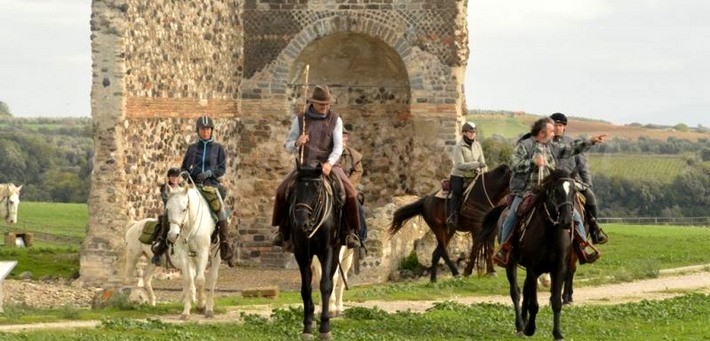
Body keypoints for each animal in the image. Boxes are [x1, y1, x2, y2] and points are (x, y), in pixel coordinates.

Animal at [165, 182, 221, 318]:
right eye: (168, 209)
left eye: (184, 209)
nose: (172, 235)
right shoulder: (184, 254)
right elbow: (188, 280)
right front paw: (186, 311)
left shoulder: (203, 253)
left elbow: (200, 279)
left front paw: (201, 305)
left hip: (215, 253)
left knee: (212, 277)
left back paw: (209, 308)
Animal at [290, 169, 344, 338]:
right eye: (297, 188)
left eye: (317, 190)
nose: (301, 224)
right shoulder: (301, 253)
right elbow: (306, 288)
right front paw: (307, 326)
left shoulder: (327, 251)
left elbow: (325, 285)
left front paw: (325, 328)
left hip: (336, 253)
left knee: (332, 280)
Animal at [472, 169, 580, 338]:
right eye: (556, 191)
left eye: (574, 191)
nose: (567, 220)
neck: (549, 234)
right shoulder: (533, 269)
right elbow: (534, 304)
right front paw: (530, 329)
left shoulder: (559, 269)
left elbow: (556, 302)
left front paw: (557, 333)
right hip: (511, 263)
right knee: (515, 292)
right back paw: (520, 326)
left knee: (525, 291)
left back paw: (524, 319)